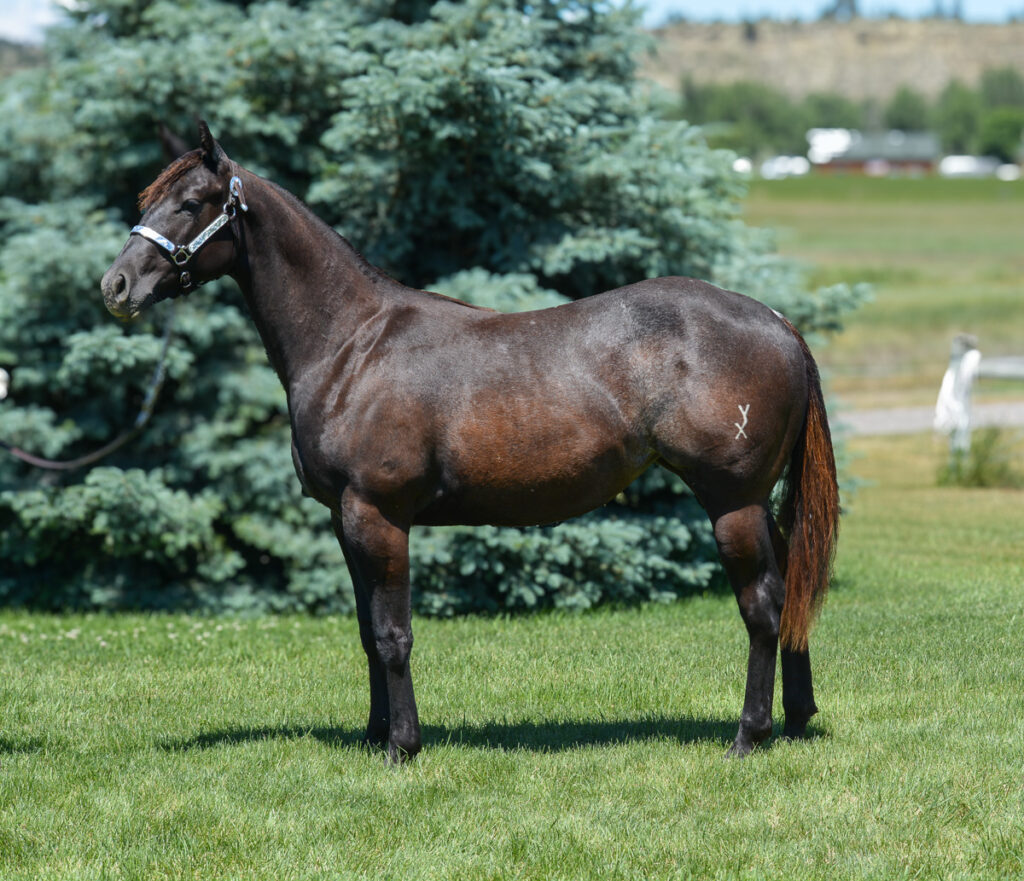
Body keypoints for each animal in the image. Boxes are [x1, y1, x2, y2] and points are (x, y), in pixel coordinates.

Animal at [99, 120, 835, 762]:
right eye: (146, 198)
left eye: (190, 202)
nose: (116, 286)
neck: (351, 344)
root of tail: (777, 321)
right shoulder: (344, 519)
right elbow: (366, 631)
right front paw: (374, 734)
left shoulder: (378, 514)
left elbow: (392, 634)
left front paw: (402, 745)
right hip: (754, 504)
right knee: (791, 588)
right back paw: (796, 719)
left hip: (731, 502)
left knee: (763, 605)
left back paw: (748, 736)